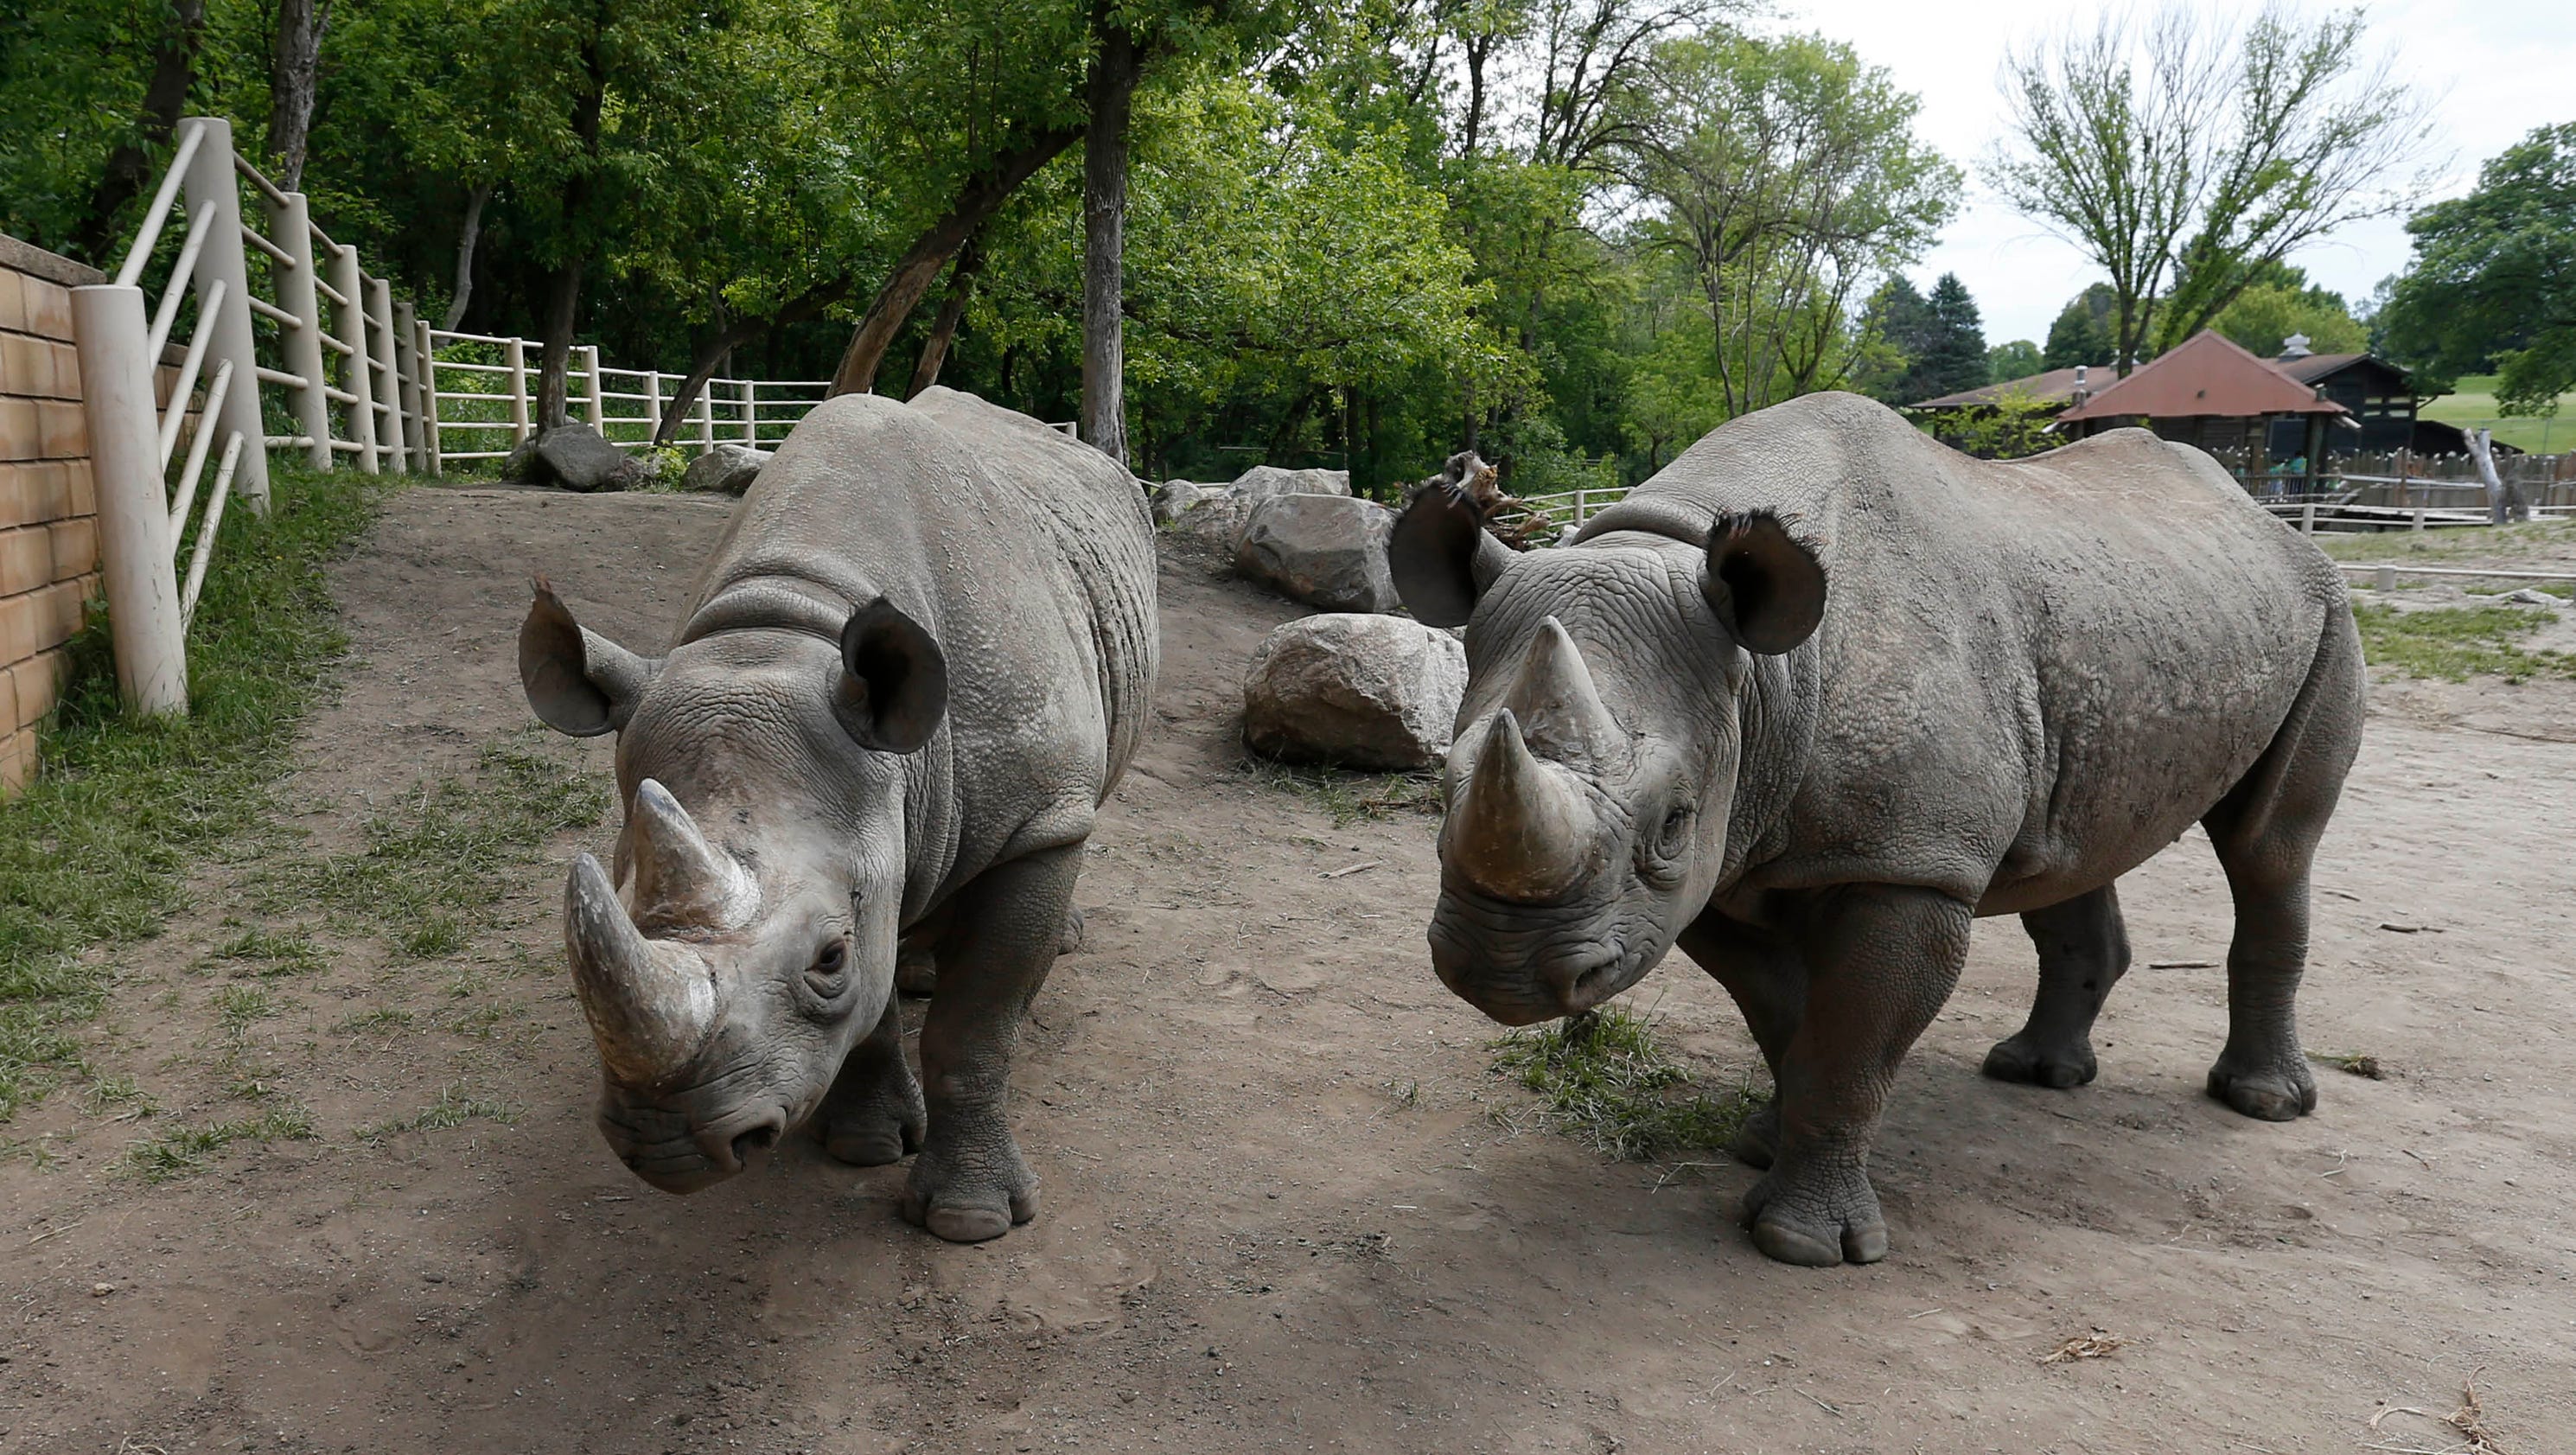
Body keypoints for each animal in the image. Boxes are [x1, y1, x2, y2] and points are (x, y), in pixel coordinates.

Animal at [515, 386, 1159, 1235]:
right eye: (618, 909)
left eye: (829, 957)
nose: (666, 1147)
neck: (789, 625)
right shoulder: (861, 826)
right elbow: (873, 1012)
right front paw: (865, 1146)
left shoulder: (1035, 816)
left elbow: (974, 1027)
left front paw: (970, 1221)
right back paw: (921, 967)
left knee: (1083, 810)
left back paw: (1059, 940)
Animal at [1401, 393, 2359, 1261]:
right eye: (1442, 787)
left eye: (1671, 822)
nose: (1495, 968)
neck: (1764, 674)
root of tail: (2266, 519)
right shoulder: (1724, 851)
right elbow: (1786, 1015)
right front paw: (1762, 1140)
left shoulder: (1909, 863)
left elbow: (1850, 1041)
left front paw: (1801, 1244)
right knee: (2070, 852)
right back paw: (2038, 1074)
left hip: (2327, 607)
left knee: (2269, 850)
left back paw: (2261, 1101)